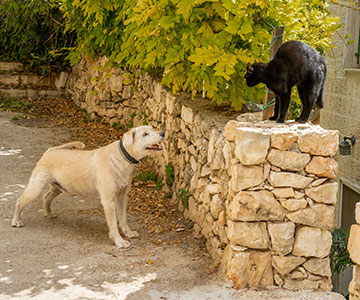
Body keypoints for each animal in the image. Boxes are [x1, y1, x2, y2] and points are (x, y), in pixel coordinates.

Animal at [11, 125, 165, 247]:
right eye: (145, 134)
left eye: (152, 128)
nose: (163, 133)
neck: (122, 157)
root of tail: (50, 151)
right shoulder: (108, 200)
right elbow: (113, 223)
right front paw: (119, 241)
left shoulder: (122, 196)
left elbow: (123, 218)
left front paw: (128, 233)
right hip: (36, 186)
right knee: (20, 201)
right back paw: (16, 221)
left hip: (57, 187)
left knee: (46, 197)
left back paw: (48, 213)